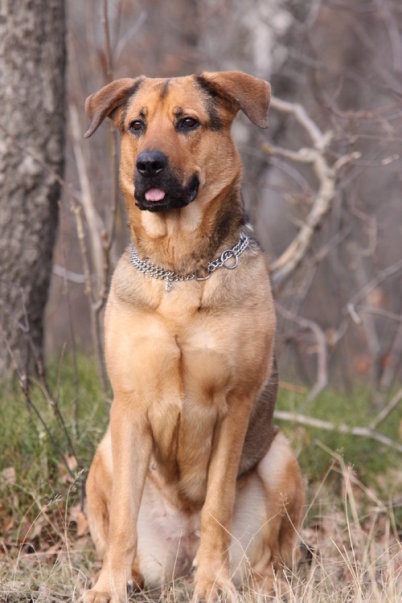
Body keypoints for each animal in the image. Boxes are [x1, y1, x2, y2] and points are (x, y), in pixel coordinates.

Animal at [83, 72, 304, 603]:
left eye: (188, 122)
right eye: (136, 125)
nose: (148, 165)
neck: (179, 269)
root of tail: (178, 556)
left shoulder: (234, 407)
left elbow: (216, 506)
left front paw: (213, 583)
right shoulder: (130, 407)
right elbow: (122, 521)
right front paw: (108, 587)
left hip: (281, 457)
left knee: (273, 554)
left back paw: (253, 582)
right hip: (104, 451)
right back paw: (133, 575)